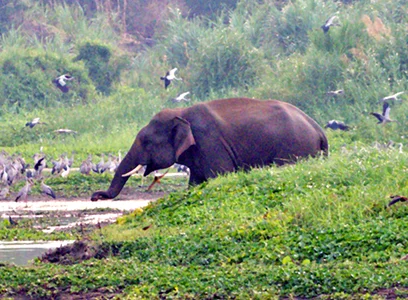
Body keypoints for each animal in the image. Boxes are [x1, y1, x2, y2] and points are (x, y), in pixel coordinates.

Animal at [90, 98, 328, 202]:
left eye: (147, 141)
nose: (95, 196)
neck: (181, 112)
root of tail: (319, 130)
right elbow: (195, 183)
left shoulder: (210, 143)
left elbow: (220, 176)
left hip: (296, 149)